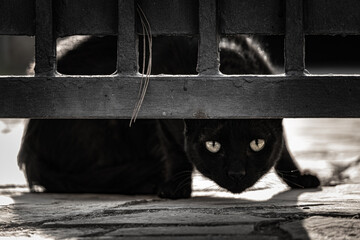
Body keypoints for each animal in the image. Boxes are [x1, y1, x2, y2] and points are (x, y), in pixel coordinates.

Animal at [18, 34, 320, 198]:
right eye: (213, 146)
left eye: (256, 144)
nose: (236, 173)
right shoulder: (159, 108)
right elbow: (175, 152)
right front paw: (176, 188)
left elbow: (283, 150)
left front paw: (298, 178)